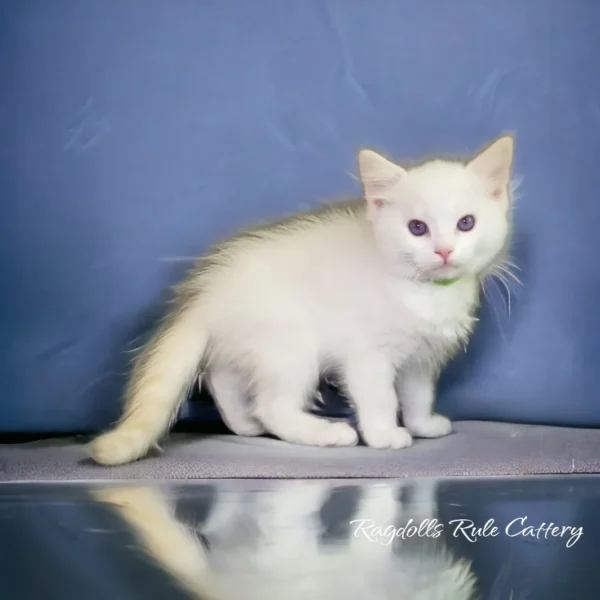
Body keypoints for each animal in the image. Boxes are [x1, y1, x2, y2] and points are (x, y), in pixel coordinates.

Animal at [91, 134, 512, 466]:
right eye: (417, 228)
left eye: (466, 223)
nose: (443, 251)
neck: (422, 291)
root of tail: (203, 295)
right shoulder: (366, 355)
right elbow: (380, 397)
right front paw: (384, 435)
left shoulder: (422, 358)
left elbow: (417, 394)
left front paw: (423, 424)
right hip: (290, 345)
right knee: (272, 406)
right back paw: (325, 434)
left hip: (250, 343)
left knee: (222, 378)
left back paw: (244, 424)